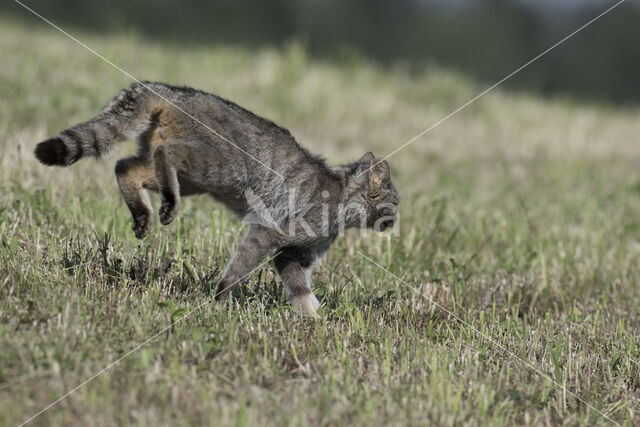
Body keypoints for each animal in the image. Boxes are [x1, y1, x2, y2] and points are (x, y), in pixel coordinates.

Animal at [35, 83, 398, 318]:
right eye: (395, 202)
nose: (398, 219)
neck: (342, 200)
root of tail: (170, 90)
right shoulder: (268, 231)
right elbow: (239, 269)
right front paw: (221, 296)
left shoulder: (291, 255)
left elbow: (300, 291)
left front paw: (314, 322)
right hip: (220, 167)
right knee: (164, 154)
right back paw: (166, 206)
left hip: (190, 178)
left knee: (125, 166)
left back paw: (144, 215)